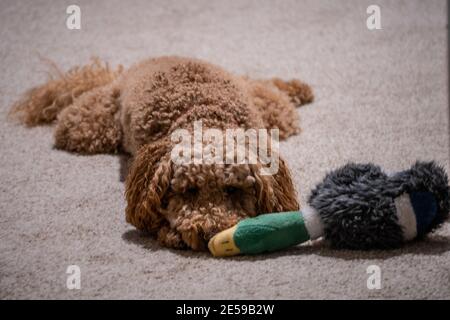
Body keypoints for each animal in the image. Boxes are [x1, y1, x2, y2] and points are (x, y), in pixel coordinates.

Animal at [10, 57, 312, 250]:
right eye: (188, 191)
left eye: (232, 190)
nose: (208, 234)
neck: (204, 118)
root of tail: (136, 67)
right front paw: (171, 233)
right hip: (87, 126)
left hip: (269, 108)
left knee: (263, 87)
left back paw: (298, 88)